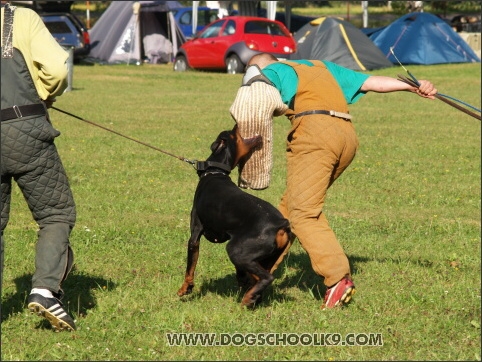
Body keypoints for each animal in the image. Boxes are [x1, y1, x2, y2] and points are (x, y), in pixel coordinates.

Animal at [177, 126, 290, 306]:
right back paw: (252, 296)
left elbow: (190, 267)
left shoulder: (195, 235)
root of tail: (280, 223)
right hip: (266, 257)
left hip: (236, 250)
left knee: (267, 277)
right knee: (259, 277)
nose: (235, 125)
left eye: (229, 132)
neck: (215, 172)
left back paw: (248, 298)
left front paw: (185, 288)